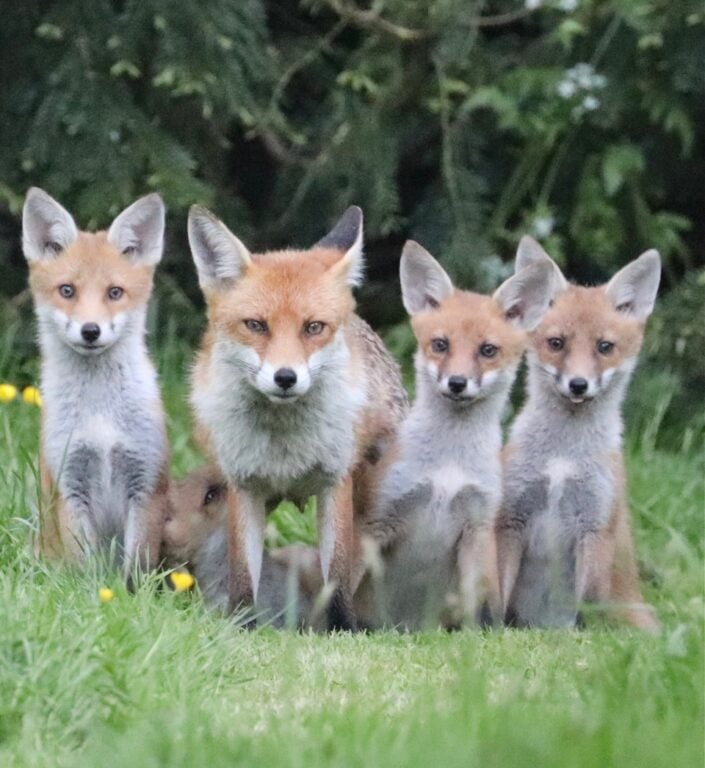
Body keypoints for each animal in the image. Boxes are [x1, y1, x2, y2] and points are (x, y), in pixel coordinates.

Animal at [22, 187, 169, 575]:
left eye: (114, 292)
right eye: (67, 291)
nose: (91, 331)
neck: (100, 416)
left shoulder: (146, 482)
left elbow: (136, 568)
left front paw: (130, 590)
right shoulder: (69, 484)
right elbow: (84, 570)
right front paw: (91, 588)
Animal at [187, 205, 407, 630]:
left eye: (313, 327)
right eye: (256, 325)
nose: (286, 377)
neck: (284, 446)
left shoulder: (336, 482)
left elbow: (337, 575)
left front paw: (342, 630)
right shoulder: (242, 485)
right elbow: (243, 574)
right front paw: (242, 626)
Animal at [354, 241, 556, 630]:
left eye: (487, 350)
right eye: (440, 344)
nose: (457, 383)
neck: (448, 467)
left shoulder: (476, 525)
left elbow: (482, 607)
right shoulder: (379, 520)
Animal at [496, 236, 661, 631]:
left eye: (604, 347)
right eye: (556, 343)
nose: (578, 385)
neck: (562, 460)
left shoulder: (595, 527)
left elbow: (587, 605)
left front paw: (580, 639)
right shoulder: (510, 519)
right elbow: (497, 597)